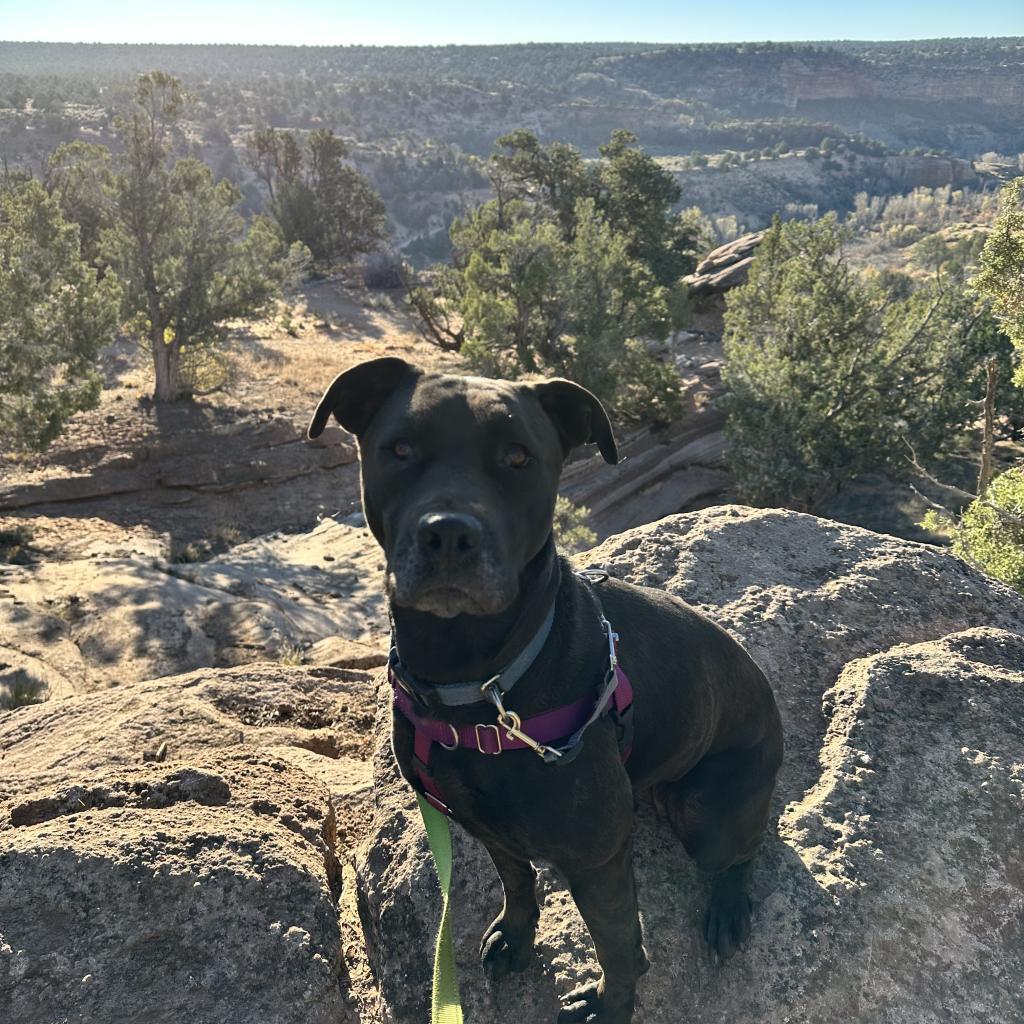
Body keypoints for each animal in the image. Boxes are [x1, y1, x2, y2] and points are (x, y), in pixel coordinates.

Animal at [307, 360, 778, 1024]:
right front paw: (517, 935)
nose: (449, 535)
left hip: (707, 814)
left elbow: (618, 946)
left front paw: (612, 1006)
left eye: (518, 457)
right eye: (399, 449)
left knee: (743, 848)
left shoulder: (597, 860)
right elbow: (517, 879)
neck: (478, 682)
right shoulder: (482, 825)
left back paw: (729, 907)